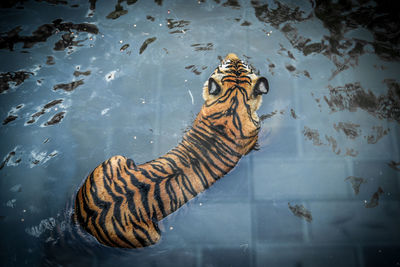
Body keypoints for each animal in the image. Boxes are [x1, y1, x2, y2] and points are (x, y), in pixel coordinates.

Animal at [73, 52, 270, 249]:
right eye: (226, 64)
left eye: (240, 64)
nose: (232, 54)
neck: (232, 103)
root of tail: (86, 220)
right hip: (150, 236)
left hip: (114, 159)